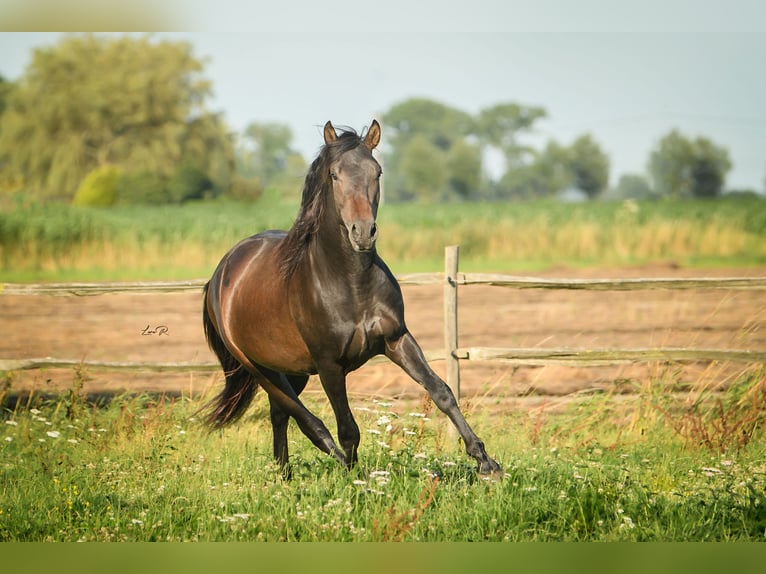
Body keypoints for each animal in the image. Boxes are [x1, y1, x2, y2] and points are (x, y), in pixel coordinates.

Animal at [201, 120, 500, 476]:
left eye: (377, 172)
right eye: (334, 174)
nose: (363, 232)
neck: (350, 283)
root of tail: (221, 273)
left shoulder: (397, 340)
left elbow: (441, 391)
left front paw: (486, 461)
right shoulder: (329, 364)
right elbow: (347, 428)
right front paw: (356, 478)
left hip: (291, 370)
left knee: (280, 413)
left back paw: (285, 476)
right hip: (257, 366)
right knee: (304, 418)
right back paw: (339, 465)